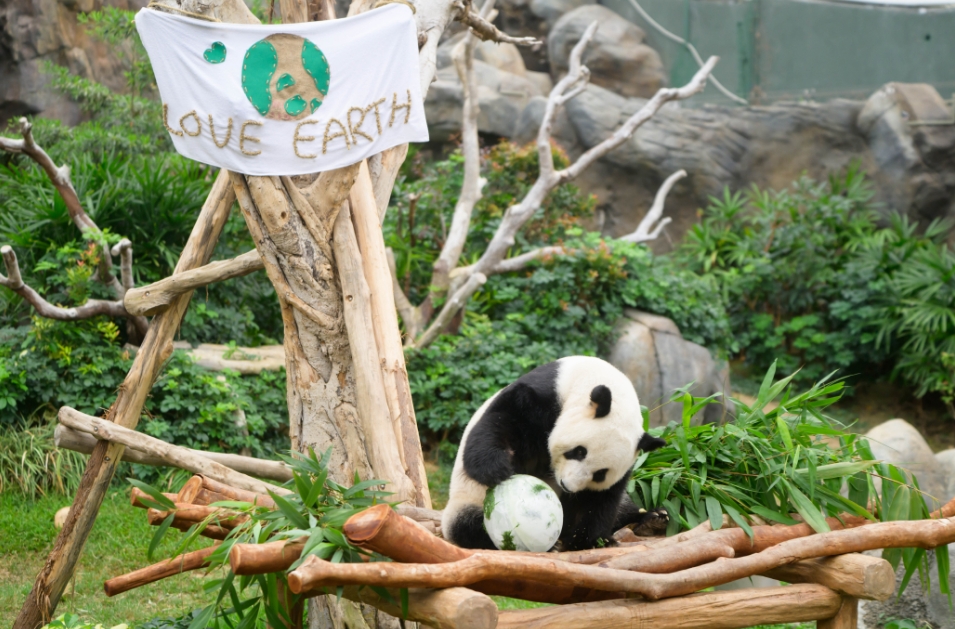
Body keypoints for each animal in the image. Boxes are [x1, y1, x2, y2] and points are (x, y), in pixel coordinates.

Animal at [444, 354, 668, 548]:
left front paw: (586, 540)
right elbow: (500, 423)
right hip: (468, 501)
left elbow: (601, 499)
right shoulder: (542, 397)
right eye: (579, 452)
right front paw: (497, 468)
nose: (566, 486)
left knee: (624, 508)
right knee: (467, 526)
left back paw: (653, 519)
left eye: (600, 474)